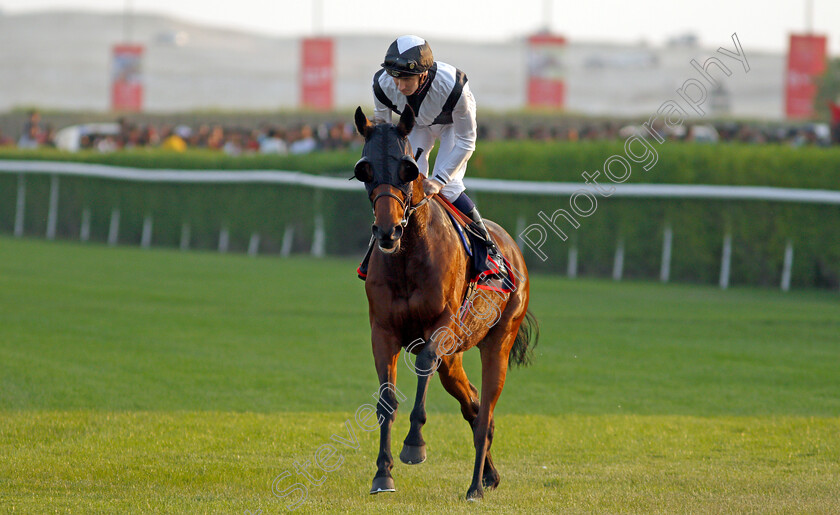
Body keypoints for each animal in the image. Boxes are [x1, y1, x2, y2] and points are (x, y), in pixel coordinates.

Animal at [352, 106, 540, 500]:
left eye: (408, 169)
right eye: (365, 169)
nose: (388, 231)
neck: (408, 255)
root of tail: (513, 250)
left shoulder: (441, 323)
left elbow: (424, 361)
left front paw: (414, 445)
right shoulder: (383, 330)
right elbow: (386, 400)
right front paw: (382, 474)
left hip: (498, 341)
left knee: (484, 413)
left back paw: (476, 487)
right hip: (453, 358)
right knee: (473, 405)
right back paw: (489, 475)